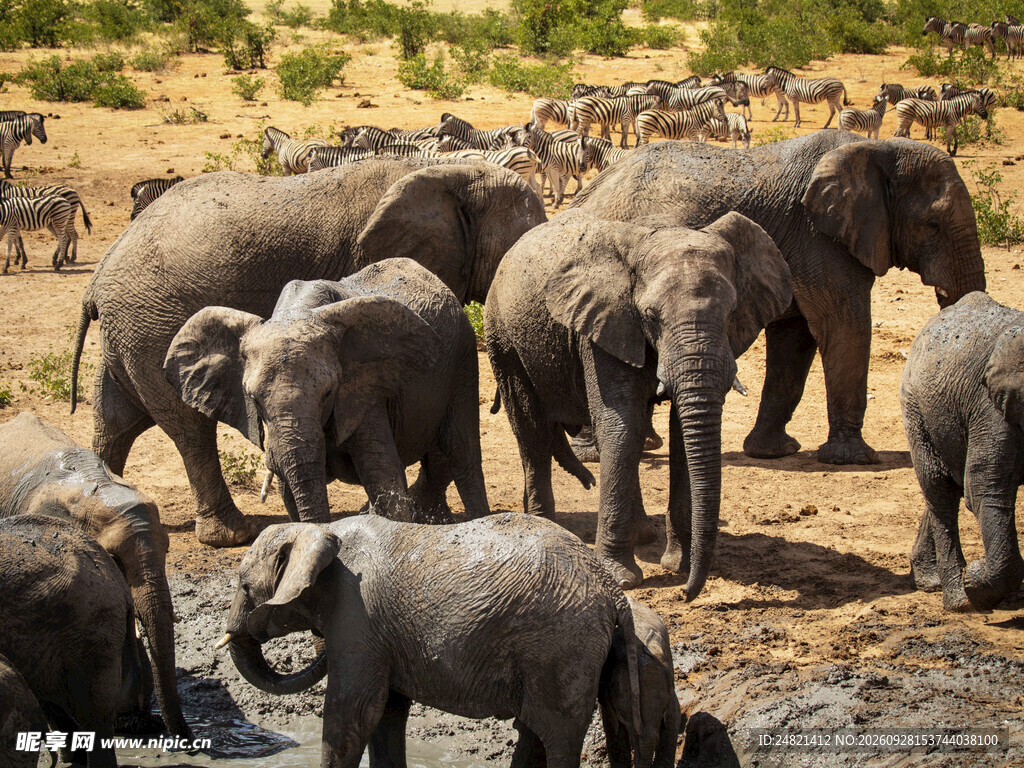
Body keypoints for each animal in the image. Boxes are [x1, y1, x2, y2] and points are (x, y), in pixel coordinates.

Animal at [163, 259, 488, 525]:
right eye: (254, 400)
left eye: (328, 393)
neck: (298, 311)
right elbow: (289, 488)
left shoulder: (364, 389)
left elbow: (382, 474)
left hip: (463, 356)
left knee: (460, 450)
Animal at [217, 513, 642, 768]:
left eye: (244, 586)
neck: (319, 529)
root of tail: (610, 587)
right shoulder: (377, 635)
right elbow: (386, 712)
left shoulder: (357, 618)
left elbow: (352, 711)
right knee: (538, 731)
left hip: (561, 648)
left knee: (557, 736)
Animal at [485, 209, 792, 591]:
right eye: (650, 317)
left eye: (732, 311)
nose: (687, 593)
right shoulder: (602, 326)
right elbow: (622, 428)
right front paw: (622, 578)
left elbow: (680, 437)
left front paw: (678, 565)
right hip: (503, 336)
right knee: (532, 431)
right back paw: (546, 526)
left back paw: (643, 534)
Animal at [570, 132, 986, 466]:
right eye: (932, 225)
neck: (877, 148)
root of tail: (587, 193)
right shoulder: (820, 240)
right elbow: (845, 325)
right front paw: (853, 459)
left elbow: (795, 339)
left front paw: (773, 451)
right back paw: (598, 452)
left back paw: (643, 444)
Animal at [900, 291, 1024, 612]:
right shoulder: (993, 410)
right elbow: (984, 491)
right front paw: (976, 583)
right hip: (915, 406)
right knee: (940, 490)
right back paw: (958, 599)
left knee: (946, 486)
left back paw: (930, 581)